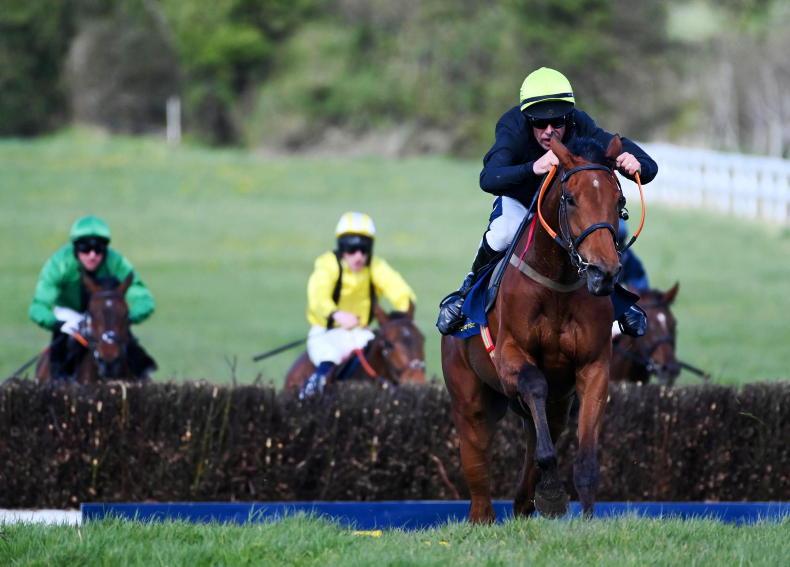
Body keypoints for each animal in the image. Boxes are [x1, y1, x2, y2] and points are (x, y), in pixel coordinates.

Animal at [442, 134, 643, 522]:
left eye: (620, 201)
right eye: (570, 198)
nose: (604, 273)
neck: (558, 283)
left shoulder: (593, 367)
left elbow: (585, 458)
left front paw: (584, 517)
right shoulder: (510, 357)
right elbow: (534, 384)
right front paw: (551, 490)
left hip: (556, 403)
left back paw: (524, 504)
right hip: (468, 398)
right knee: (477, 461)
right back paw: (482, 515)